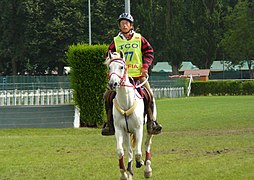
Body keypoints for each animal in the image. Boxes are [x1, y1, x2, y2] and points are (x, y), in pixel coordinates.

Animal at [104, 51, 154, 180]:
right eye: (109, 67)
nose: (112, 84)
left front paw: (140, 163)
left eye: (122, 67)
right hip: (126, 132)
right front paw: (124, 173)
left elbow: (138, 153)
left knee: (147, 144)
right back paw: (130, 171)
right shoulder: (119, 129)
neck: (126, 103)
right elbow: (121, 151)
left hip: (148, 127)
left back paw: (147, 169)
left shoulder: (138, 129)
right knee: (130, 150)